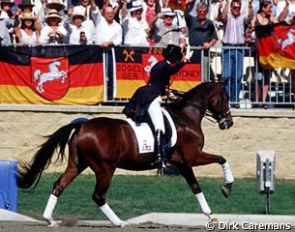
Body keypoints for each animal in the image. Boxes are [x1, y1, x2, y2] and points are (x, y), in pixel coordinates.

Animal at [17, 81, 236, 227]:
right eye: (225, 98)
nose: (228, 123)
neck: (187, 118)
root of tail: (82, 125)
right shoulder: (190, 158)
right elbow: (219, 162)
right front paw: (226, 189)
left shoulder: (183, 163)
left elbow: (197, 184)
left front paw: (211, 214)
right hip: (105, 168)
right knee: (98, 196)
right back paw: (120, 223)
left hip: (77, 164)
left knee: (59, 185)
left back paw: (49, 220)